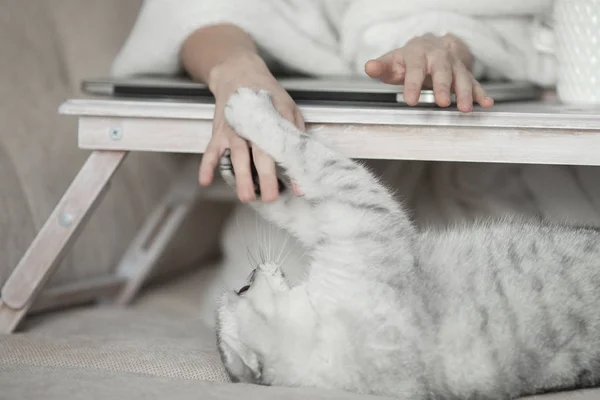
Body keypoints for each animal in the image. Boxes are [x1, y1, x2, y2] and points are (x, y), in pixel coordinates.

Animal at [216, 88, 600, 400]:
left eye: (244, 286)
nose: (254, 269)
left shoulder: (345, 221)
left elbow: (293, 204)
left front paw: (247, 178)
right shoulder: (362, 210)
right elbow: (302, 151)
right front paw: (249, 109)